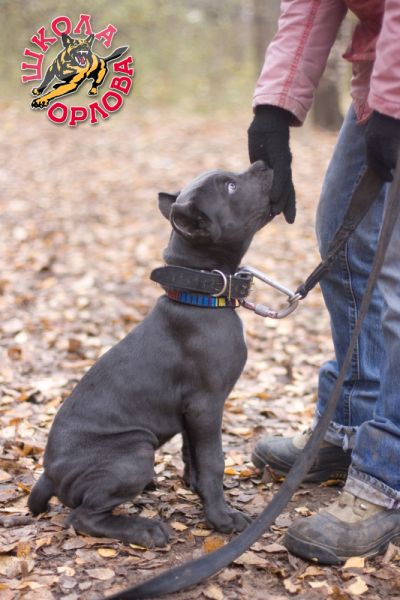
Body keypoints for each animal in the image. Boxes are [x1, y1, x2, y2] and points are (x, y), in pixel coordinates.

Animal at [28, 161, 273, 547]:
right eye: (231, 187)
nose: (263, 163)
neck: (198, 296)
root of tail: (48, 477)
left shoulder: (191, 410)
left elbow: (193, 455)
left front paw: (198, 491)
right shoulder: (207, 404)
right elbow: (214, 461)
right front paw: (221, 517)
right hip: (135, 451)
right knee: (83, 517)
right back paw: (144, 529)